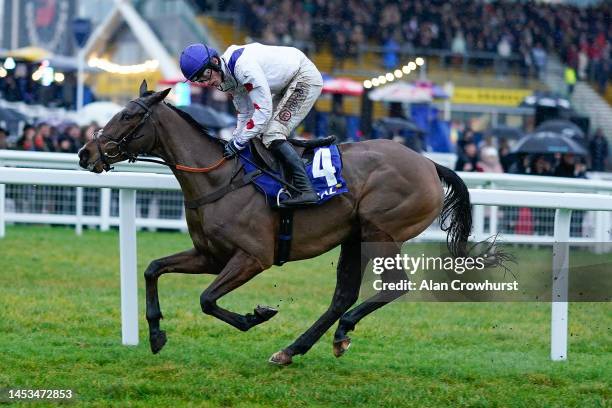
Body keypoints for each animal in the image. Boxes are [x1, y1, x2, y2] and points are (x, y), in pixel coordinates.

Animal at [79, 80, 492, 366]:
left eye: (128, 116)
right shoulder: (209, 255)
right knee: (343, 295)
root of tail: (428, 163)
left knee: (394, 286)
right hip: (354, 236)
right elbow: (152, 269)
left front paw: (256, 316)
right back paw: (295, 349)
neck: (218, 179)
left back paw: (342, 330)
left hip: (380, 232)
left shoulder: (253, 258)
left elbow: (207, 299)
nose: (85, 152)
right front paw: (155, 334)